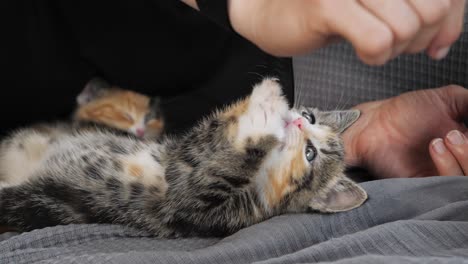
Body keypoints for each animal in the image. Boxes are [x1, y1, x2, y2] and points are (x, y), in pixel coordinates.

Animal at [0, 78, 368, 237]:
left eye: (310, 153)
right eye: (309, 116)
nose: (296, 121)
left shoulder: (192, 202)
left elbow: (208, 155)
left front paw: (263, 112)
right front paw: (265, 102)